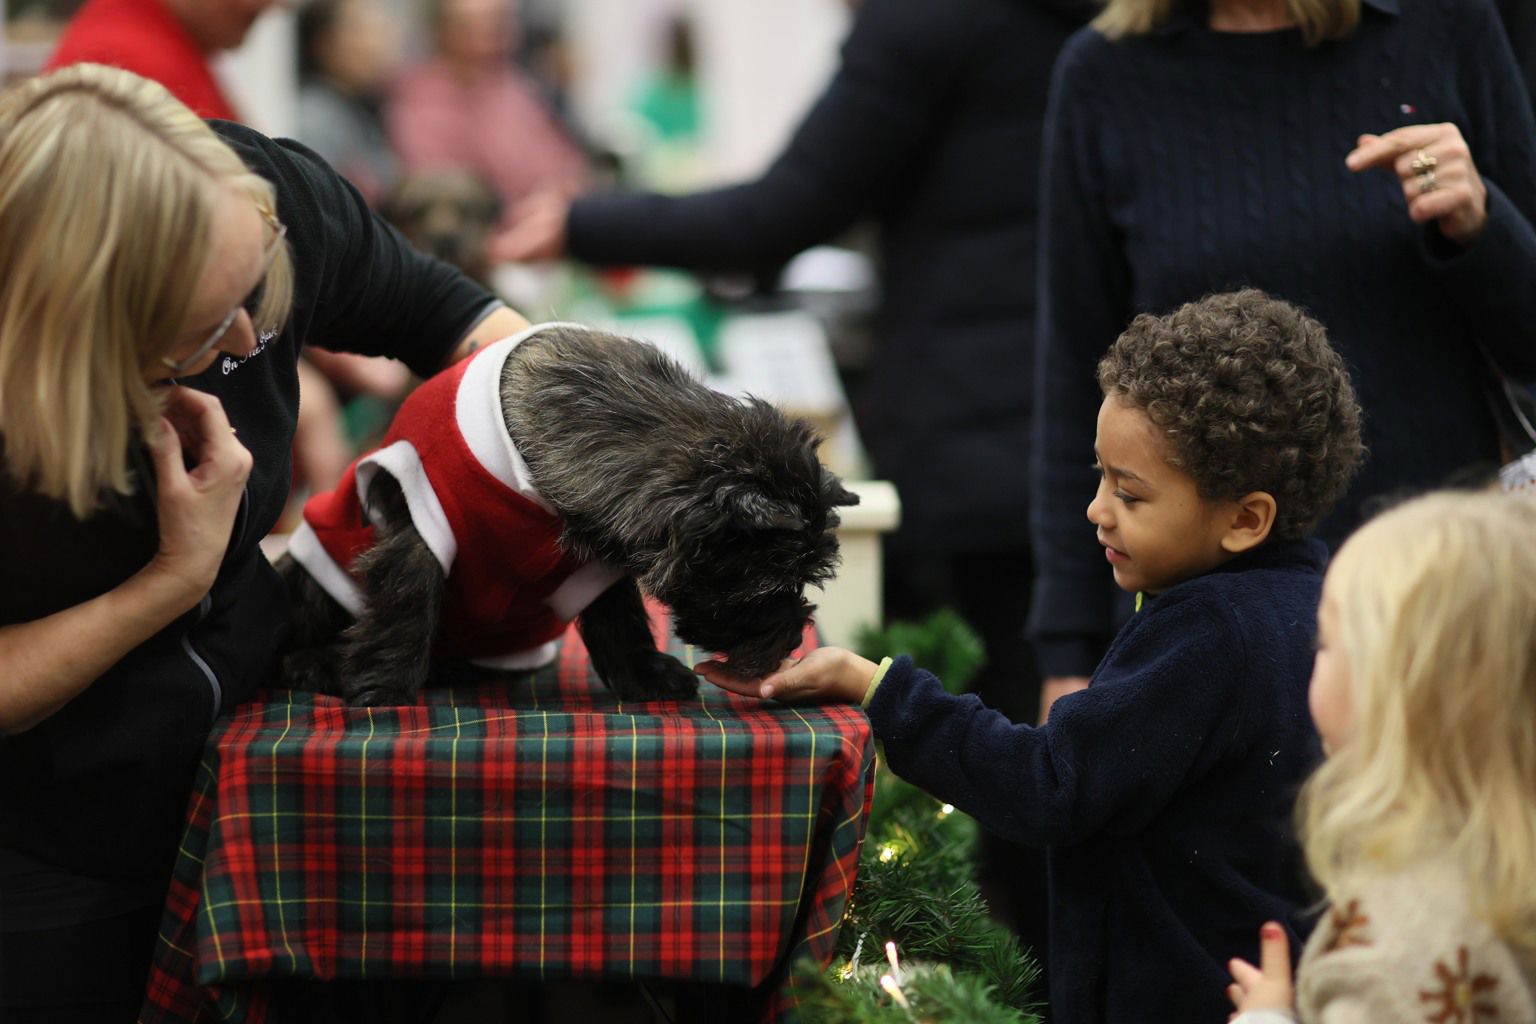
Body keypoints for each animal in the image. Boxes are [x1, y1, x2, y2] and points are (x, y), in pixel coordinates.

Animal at [282, 322, 860, 706]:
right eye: (767, 587)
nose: (793, 637)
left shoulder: (592, 567)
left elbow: (622, 621)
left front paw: (646, 677)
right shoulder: (421, 527)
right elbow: (407, 602)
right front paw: (383, 685)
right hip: (316, 564)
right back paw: (317, 664)